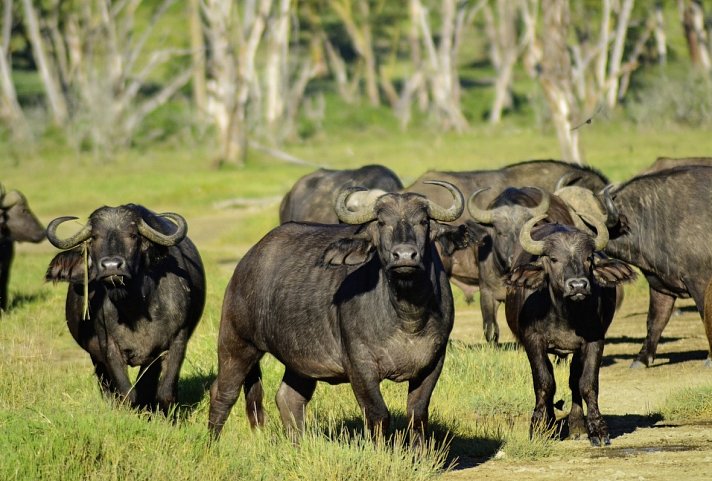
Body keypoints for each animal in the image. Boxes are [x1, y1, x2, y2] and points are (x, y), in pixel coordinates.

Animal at [46, 204, 204, 410]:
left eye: (133, 235)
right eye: (94, 237)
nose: (112, 266)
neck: (135, 310)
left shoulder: (177, 340)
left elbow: (165, 393)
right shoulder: (109, 347)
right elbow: (126, 393)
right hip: (96, 358)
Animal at [209, 181, 470, 442]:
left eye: (424, 221)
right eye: (382, 222)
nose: (404, 255)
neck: (408, 317)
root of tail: (246, 263)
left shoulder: (433, 362)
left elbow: (417, 414)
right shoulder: (360, 366)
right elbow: (378, 415)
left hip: (300, 360)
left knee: (288, 398)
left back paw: (298, 444)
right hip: (236, 343)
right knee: (223, 392)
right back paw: (212, 441)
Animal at [504, 216, 636, 444]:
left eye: (588, 258)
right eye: (554, 259)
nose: (578, 286)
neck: (565, 314)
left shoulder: (594, 340)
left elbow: (587, 384)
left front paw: (597, 430)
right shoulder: (533, 341)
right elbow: (544, 382)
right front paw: (538, 427)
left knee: (574, 380)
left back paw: (576, 426)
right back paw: (549, 423)